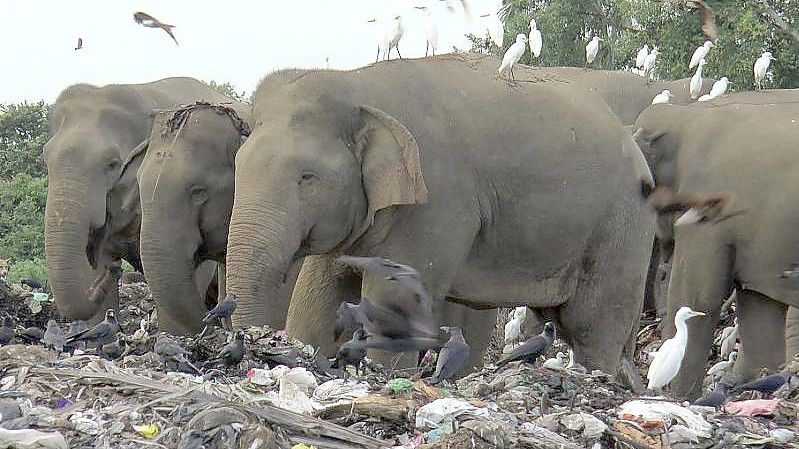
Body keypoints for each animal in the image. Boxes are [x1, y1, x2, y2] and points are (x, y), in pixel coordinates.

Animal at [223, 53, 656, 374]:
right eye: (238, 165)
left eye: (307, 177)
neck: (359, 84)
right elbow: (320, 296)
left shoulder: (435, 200)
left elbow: (396, 297)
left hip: (623, 227)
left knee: (592, 326)